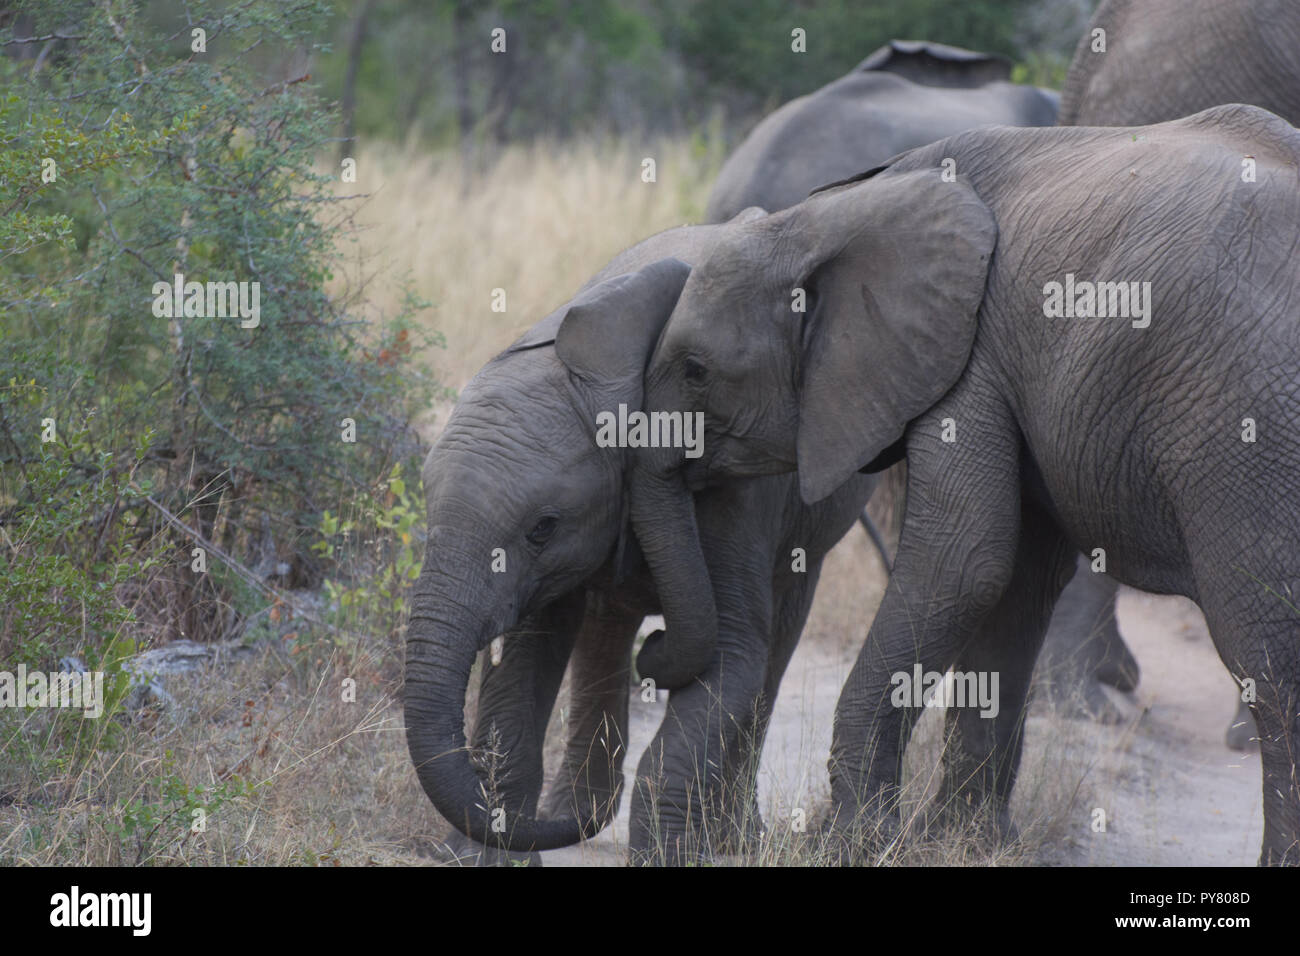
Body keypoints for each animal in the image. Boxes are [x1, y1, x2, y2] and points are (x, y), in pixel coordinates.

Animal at [403, 210, 873, 868]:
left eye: (542, 527)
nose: (657, 648)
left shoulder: (736, 486)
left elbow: (733, 651)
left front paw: (669, 855)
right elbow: (526, 657)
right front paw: (478, 858)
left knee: (778, 636)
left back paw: (728, 839)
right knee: (605, 624)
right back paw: (578, 808)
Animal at [634, 106, 1300, 868]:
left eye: (695, 371)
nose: (648, 651)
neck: (833, 211)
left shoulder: (969, 357)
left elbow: (962, 562)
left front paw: (850, 842)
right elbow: (1015, 584)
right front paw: (964, 842)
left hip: (1251, 433)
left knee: (1267, 654)